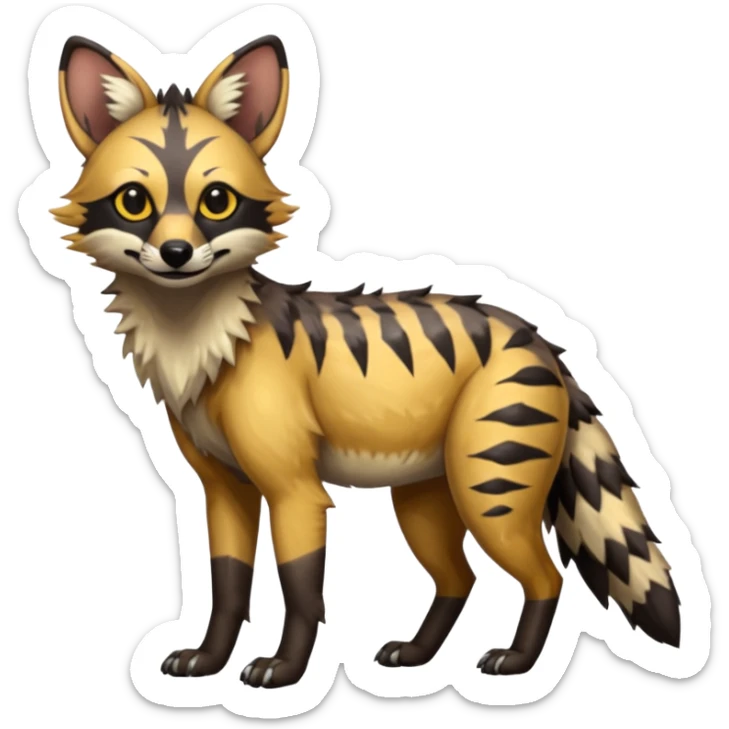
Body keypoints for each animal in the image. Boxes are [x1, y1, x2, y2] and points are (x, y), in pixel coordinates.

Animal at [49, 34, 680, 688]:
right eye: (134, 202)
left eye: (216, 202)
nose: (176, 253)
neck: (205, 343)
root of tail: (536, 338)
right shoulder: (223, 490)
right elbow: (227, 586)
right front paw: (208, 660)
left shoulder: (295, 489)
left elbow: (301, 589)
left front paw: (285, 669)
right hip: (426, 500)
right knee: (460, 579)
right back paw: (419, 654)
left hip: (491, 493)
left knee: (544, 576)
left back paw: (518, 662)